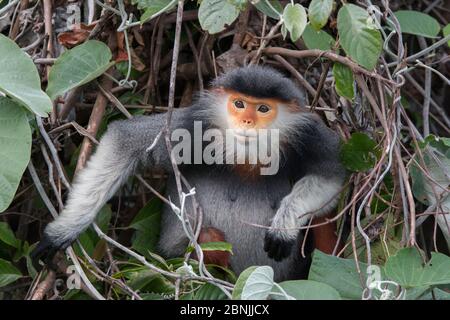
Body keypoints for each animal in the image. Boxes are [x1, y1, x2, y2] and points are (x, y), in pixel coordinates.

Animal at [33, 66, 346, 282]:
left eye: (263, 108)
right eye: (239, 104)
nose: (246, 122)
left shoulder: (311, 137)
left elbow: (334, 179)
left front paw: (283, 227)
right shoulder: (193, 124)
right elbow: (126, 140)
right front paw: (62, 231)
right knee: (208, 236)